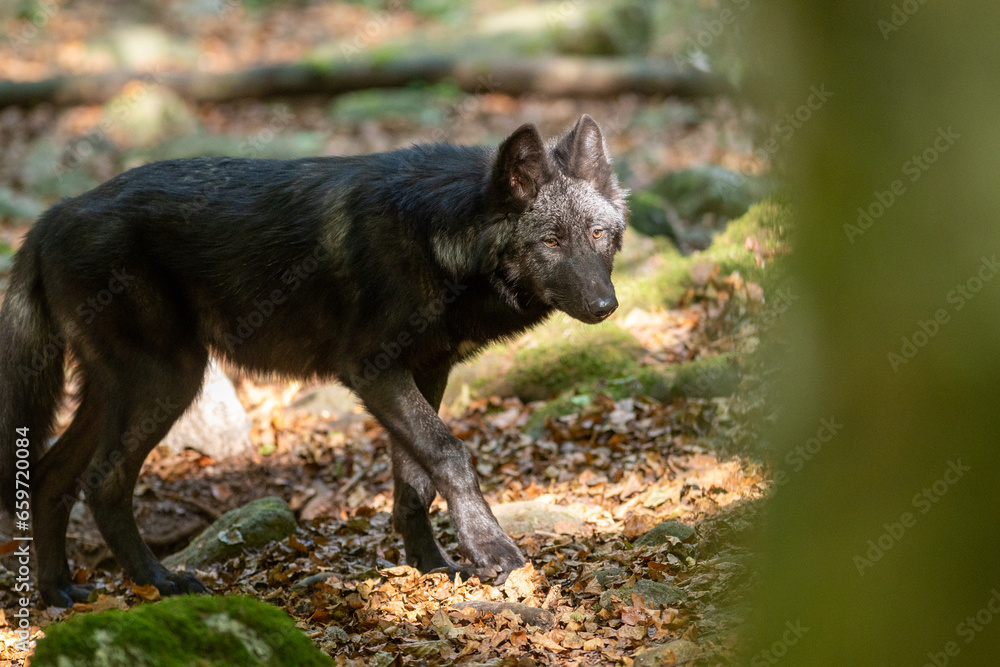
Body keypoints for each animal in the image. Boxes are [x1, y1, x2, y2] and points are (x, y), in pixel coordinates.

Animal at [0, 113, 624, 604]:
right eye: (551, 242)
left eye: (598, 235)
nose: (606, 305)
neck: (437, 237)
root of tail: (51, 216)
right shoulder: (373, 371)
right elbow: (450, 453)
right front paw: (490, 549)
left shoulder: (427, 369)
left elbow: (415, 485)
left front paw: (431, 567)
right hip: (169, 382)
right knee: (103, 483)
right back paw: (159, 582)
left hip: (120, 393)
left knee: (51, 476)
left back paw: (56, 592)